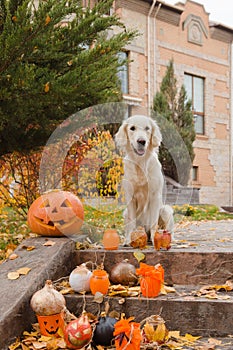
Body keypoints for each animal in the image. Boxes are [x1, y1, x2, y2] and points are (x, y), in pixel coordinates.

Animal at [114, 115, 173, 246]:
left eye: (147, 128)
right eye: (132, 128)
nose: (141, 141)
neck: (140, 163)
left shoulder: (155, 195)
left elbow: (154, 223)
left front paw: (155, 240)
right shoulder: (130, 196)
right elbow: (131, 223)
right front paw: (128, 240)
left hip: (166, 210)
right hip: (125, 212)